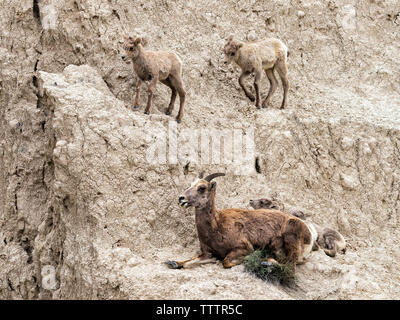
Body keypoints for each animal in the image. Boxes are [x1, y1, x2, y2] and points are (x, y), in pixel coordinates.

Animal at [165, 174, 316, 272]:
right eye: (191, 185)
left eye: (202, 187)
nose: (181, 198)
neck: (216, 227)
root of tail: (310, 234)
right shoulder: (207, 253)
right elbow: (188, 262)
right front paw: (174, 262)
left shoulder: (243, 247)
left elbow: (226, 262)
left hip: (291, 237)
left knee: (290, 268)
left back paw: (266, 262)